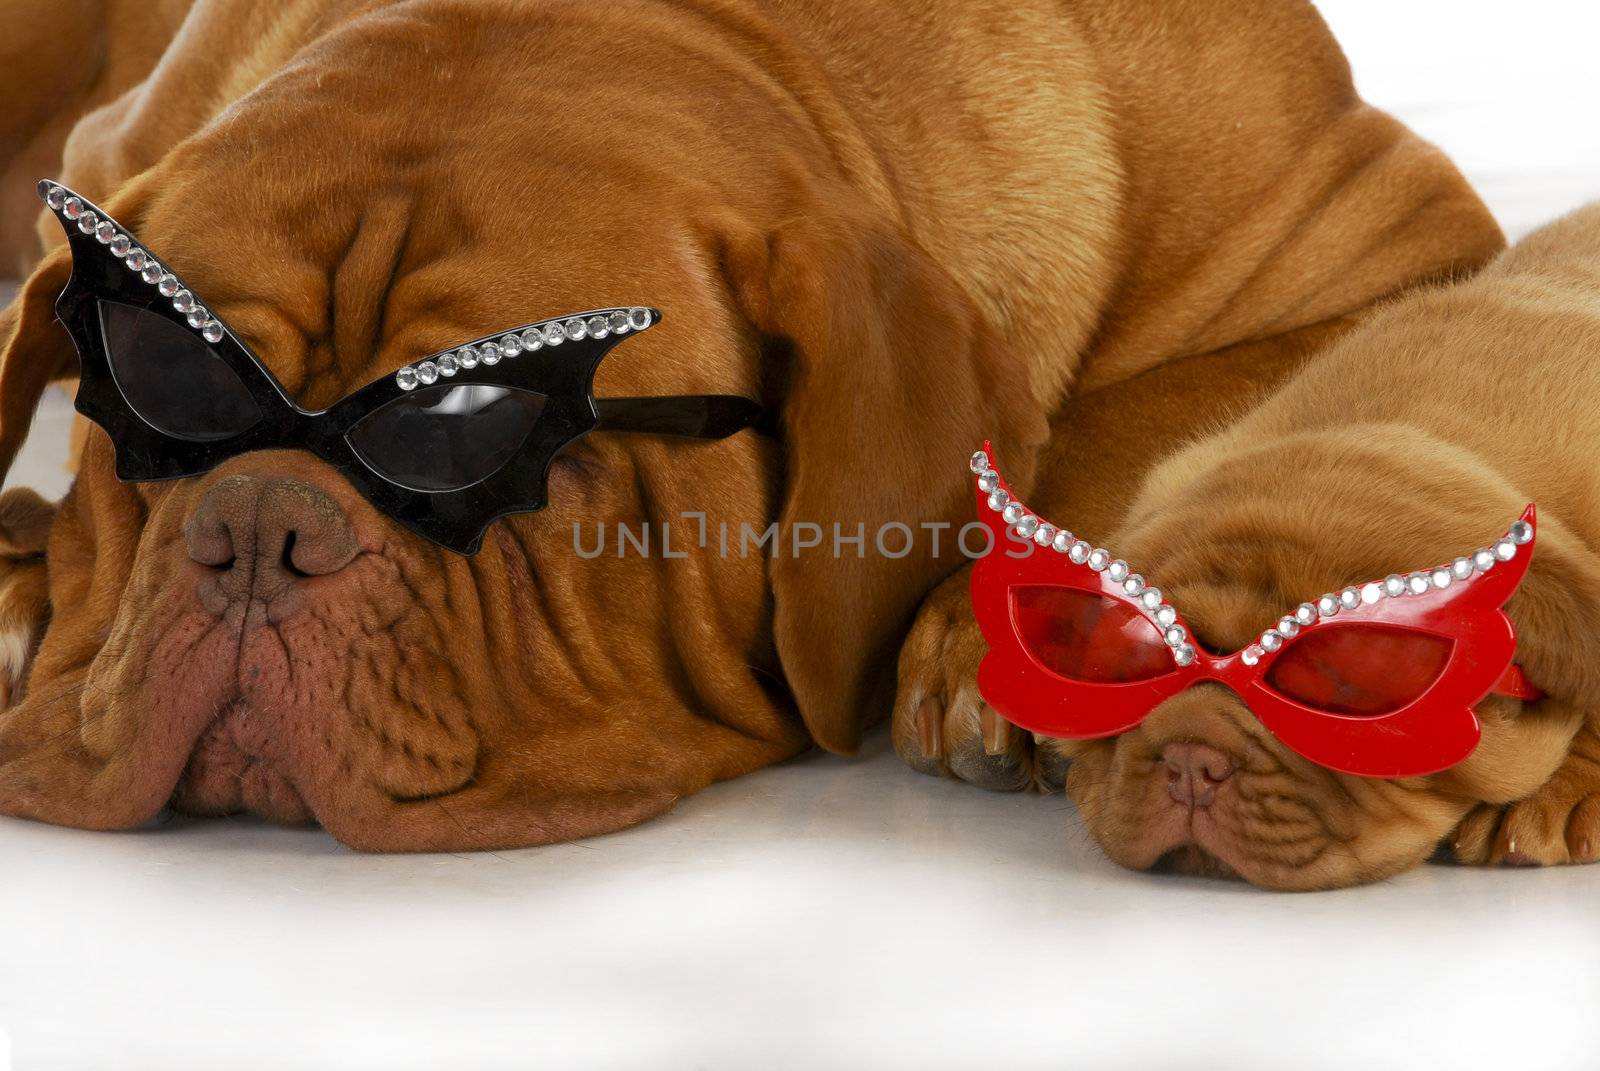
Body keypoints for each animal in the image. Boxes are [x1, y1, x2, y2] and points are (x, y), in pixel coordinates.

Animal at [0, 2, 1497, 851]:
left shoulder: (1385, 243)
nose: (259, 525)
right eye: (162, 403)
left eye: (479, 433)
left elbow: (1138, 419)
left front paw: (995, 628)